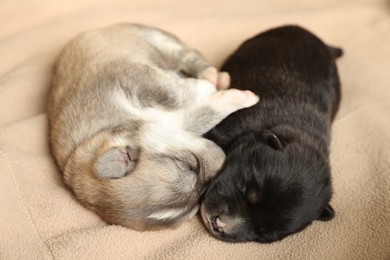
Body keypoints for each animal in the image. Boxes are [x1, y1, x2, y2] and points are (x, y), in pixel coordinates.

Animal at [46, 23, 258, 231]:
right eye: (197, 202)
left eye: (188, 165)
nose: (223, 160)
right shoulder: (184, 121)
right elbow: (203, 113)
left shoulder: (134, 79)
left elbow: (174, 94)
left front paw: (218, 90)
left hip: (157, 39)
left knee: (187, 55)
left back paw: (214, 76)